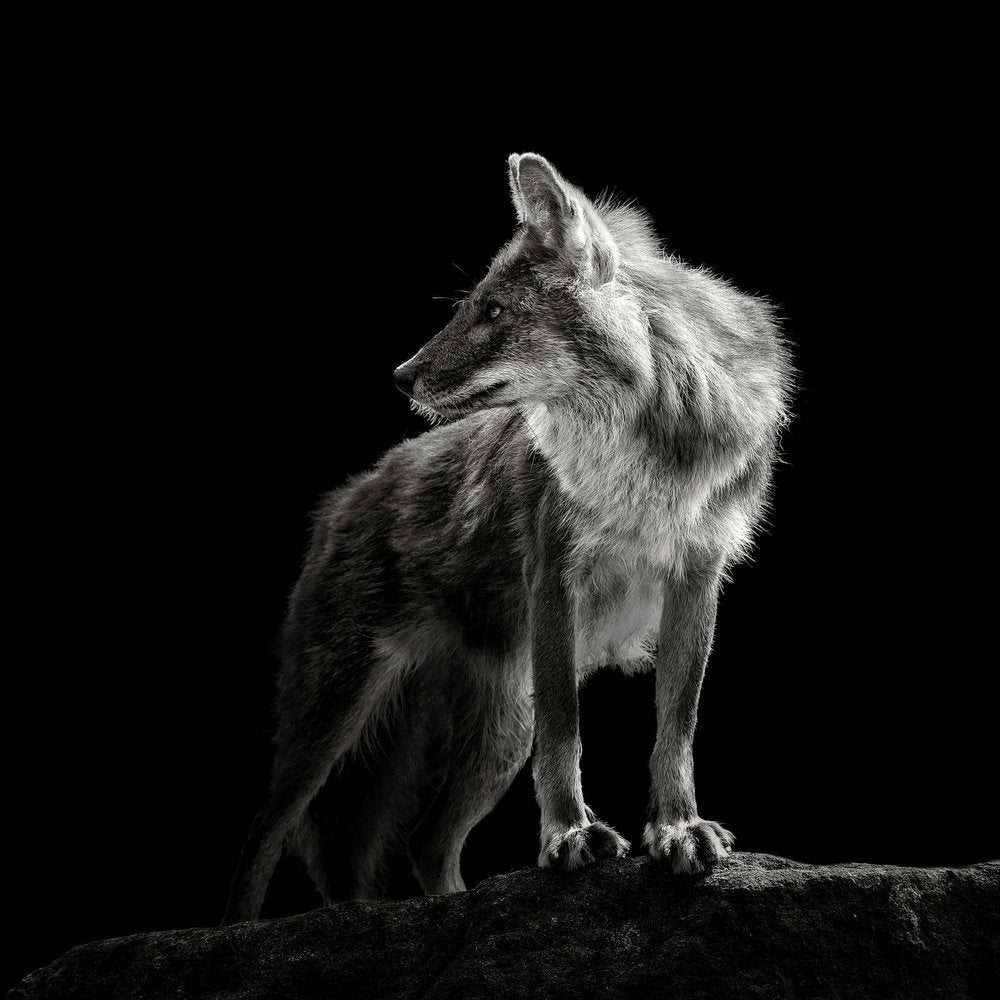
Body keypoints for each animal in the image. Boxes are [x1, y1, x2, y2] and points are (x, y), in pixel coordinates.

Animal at [223, 153, 792, 923]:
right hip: (333, 714)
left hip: (496, 730)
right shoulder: (554, 577)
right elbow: (567, 728)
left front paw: (677, 829)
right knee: (266, 834)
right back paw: (229, 932)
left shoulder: (697, 576)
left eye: (494, 311)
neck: (643, 460)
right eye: (472, 304)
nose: (400, 375)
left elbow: (675, 727)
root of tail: (347, 497)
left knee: (426, 842)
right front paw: (570, 836)